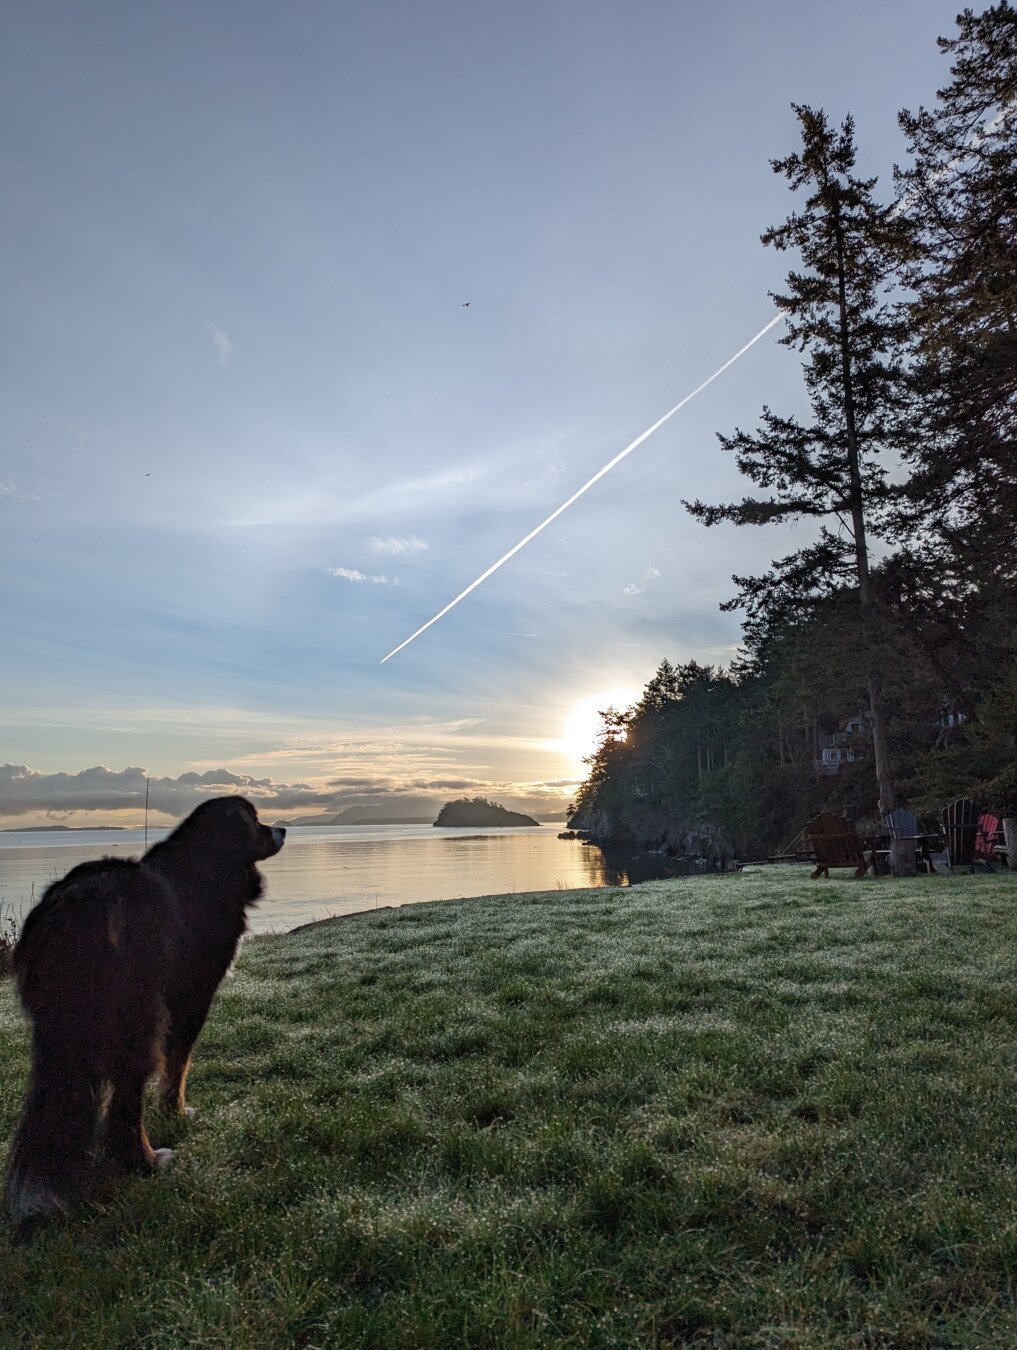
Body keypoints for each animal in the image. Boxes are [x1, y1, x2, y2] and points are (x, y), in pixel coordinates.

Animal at [6, 788, 286, 1225]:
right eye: (255, 821)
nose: (283, 829)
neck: (206, 863)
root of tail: (72, 906)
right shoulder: (191, 998)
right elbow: (178, 1065)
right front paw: (175, 1112)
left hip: (59, 1031)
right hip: (136, 1018)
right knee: (126, 1099)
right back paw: (146, 1161)